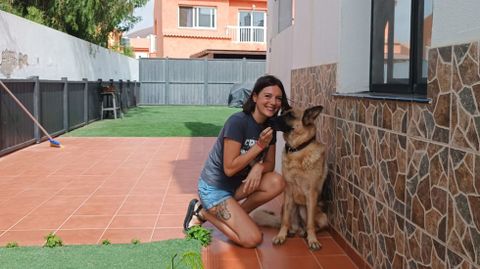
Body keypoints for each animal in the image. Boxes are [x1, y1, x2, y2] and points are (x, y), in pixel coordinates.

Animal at [253, 104, 328, 249]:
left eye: (290, 115)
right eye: (282, 112)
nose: (269, 120)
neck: (297, 150)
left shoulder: (311, 194)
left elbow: (310, 223)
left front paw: (313, 240)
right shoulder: (288, 192)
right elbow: (285, 221)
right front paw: (281, 236)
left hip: (320, 216)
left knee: (310, 225)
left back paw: (306, 233)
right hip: (290, 207)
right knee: (290, 223)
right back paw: (291, 232)